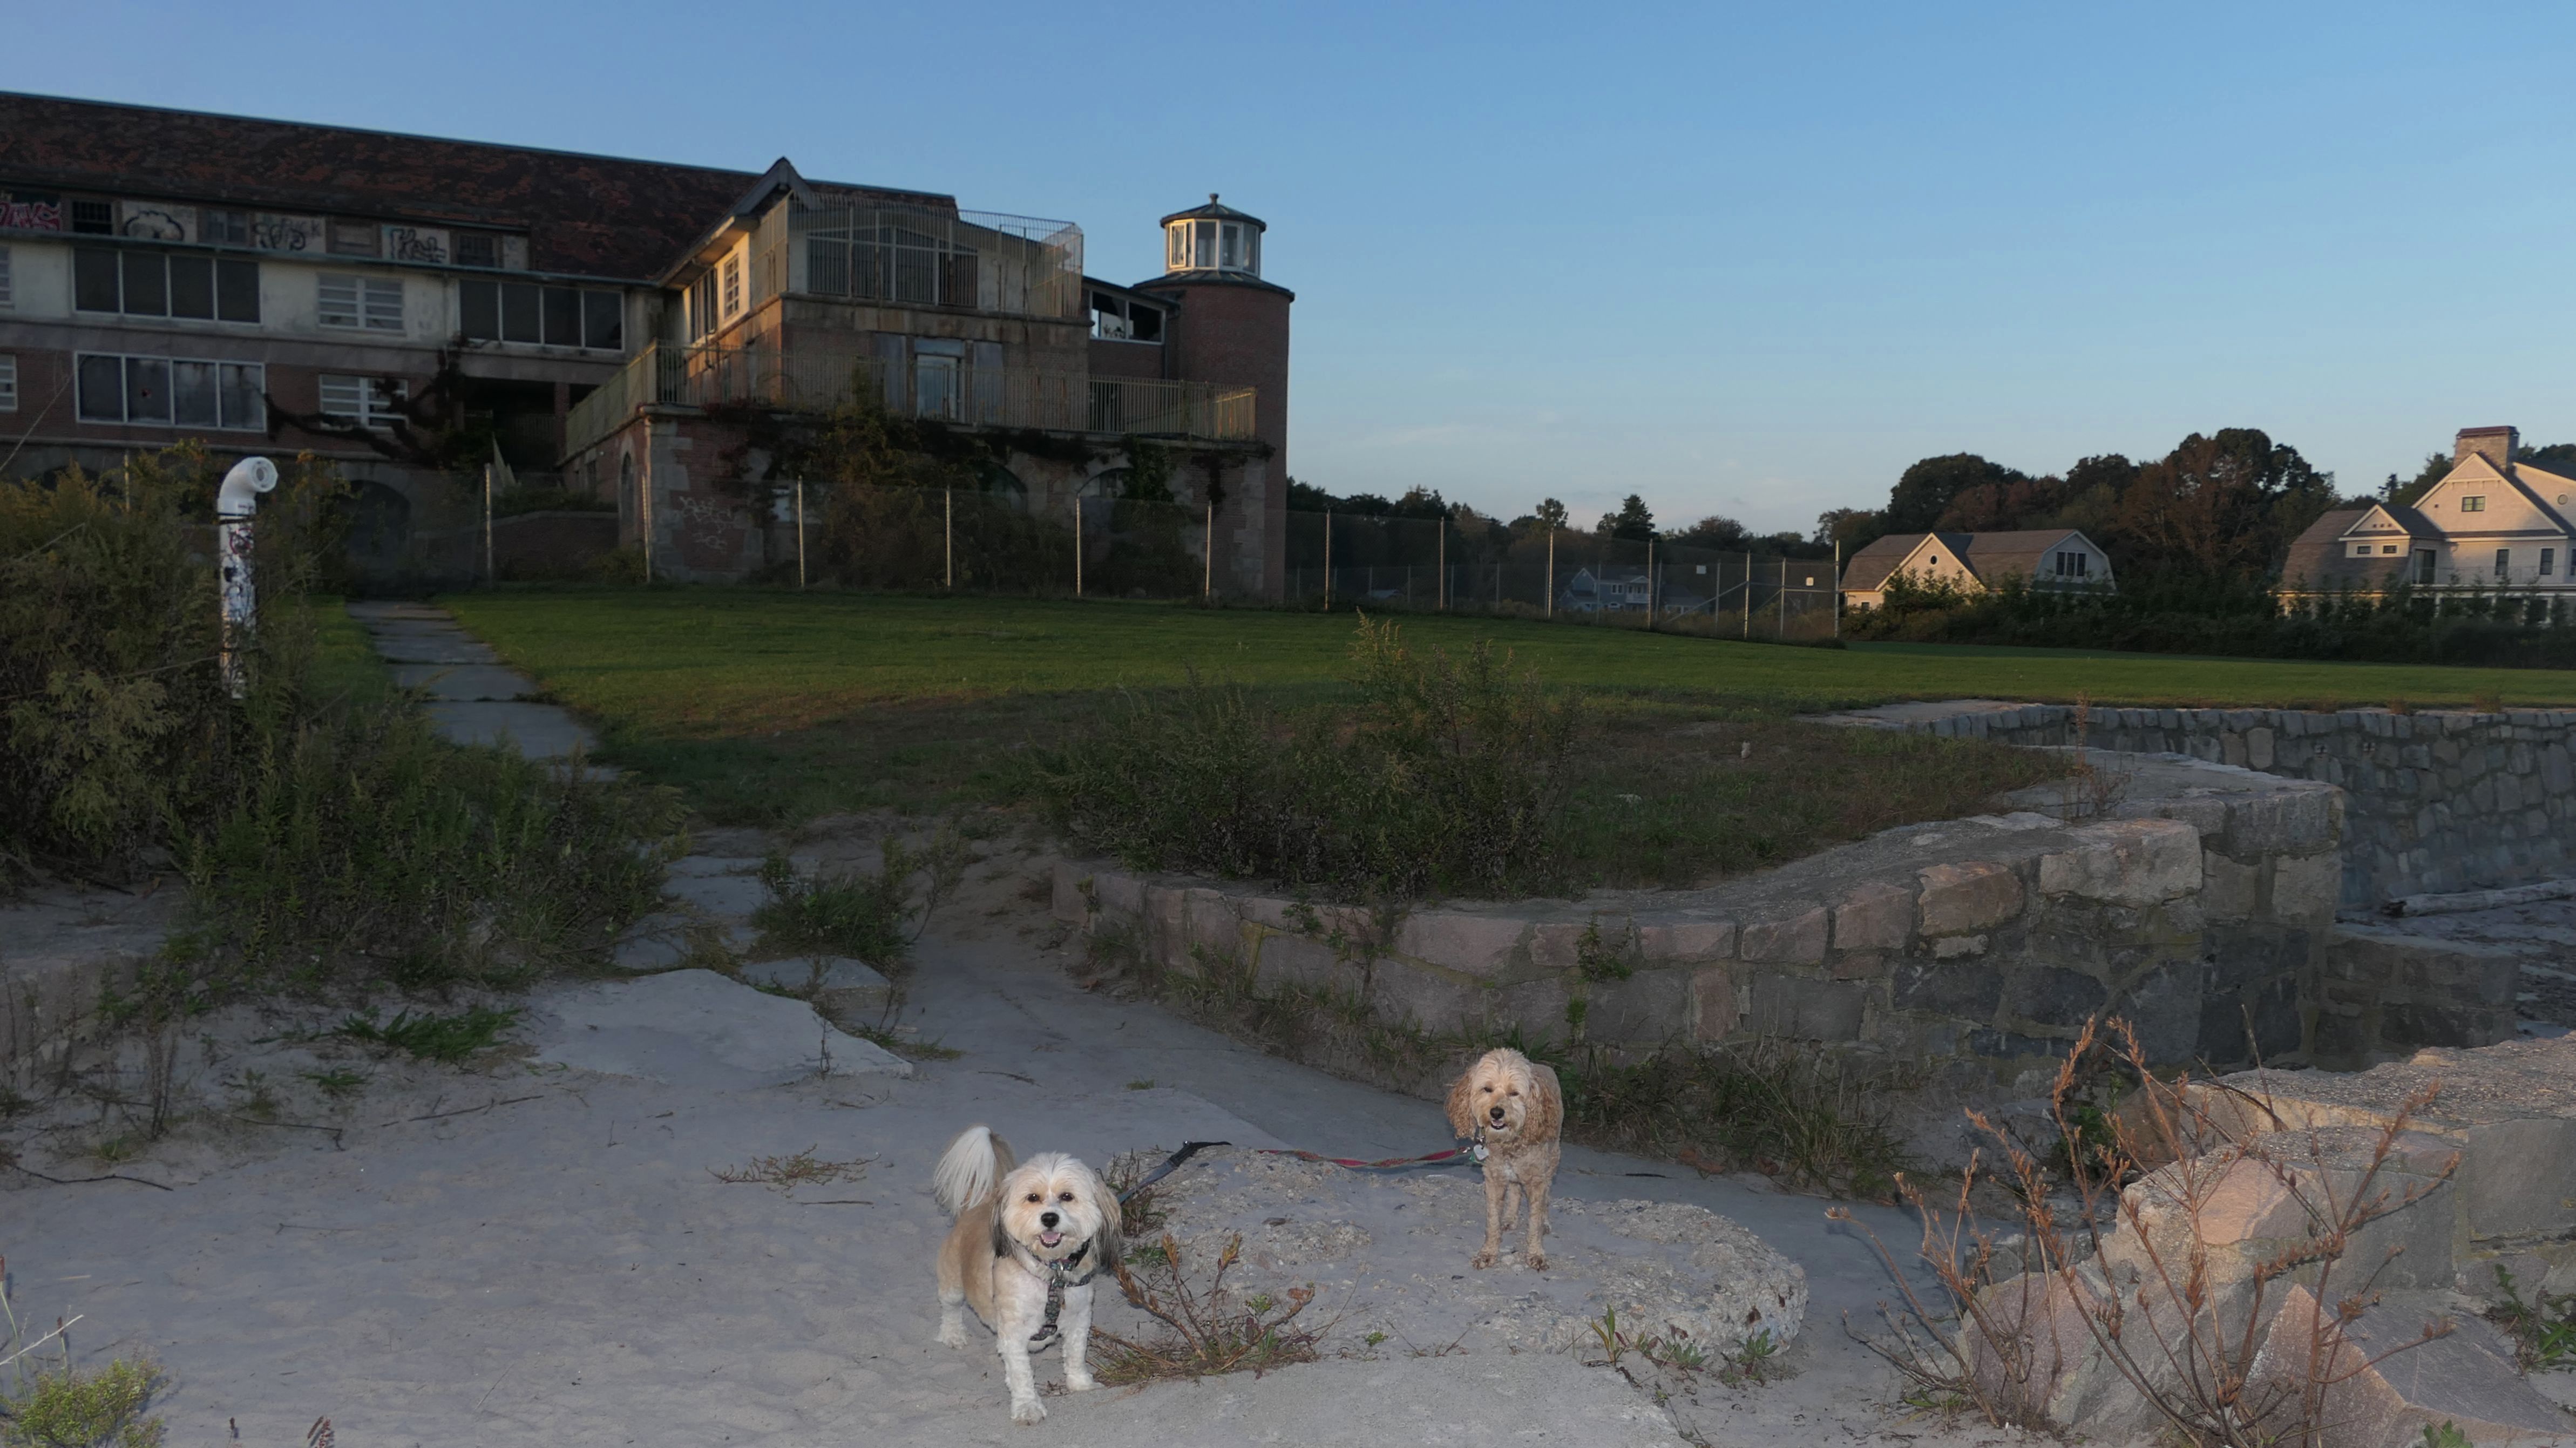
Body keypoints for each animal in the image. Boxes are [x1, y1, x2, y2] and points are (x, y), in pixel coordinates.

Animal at [932, 1124, 1120, 1424]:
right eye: (1033, 1198)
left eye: (1067, 1197)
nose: (1049, 1218)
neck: (1051, 1274)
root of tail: (976, 1207)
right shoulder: (1014, 1333)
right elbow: (1021, 1375)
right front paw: (1027, 1407)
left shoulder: (1080, 1319)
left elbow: (1076, 1355)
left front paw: (1081, 1384)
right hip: (952, 1284)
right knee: (950, 1309)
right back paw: (953, 1335)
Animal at [1445, 1047, 1563, 1270]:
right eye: (1487, 1089)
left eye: (1515, 1093)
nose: (1497, 1113)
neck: (1510, 1143)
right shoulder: (1494, 1179)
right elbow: (1492, 1221)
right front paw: (1488, 1253)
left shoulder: (1537, 1181)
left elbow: (1535, 1222)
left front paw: (1536, 1254)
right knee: (1516, 1190)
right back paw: (1509, 1218)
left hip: (1553, 1160)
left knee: (1547, 1195)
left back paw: (1545, 1222)